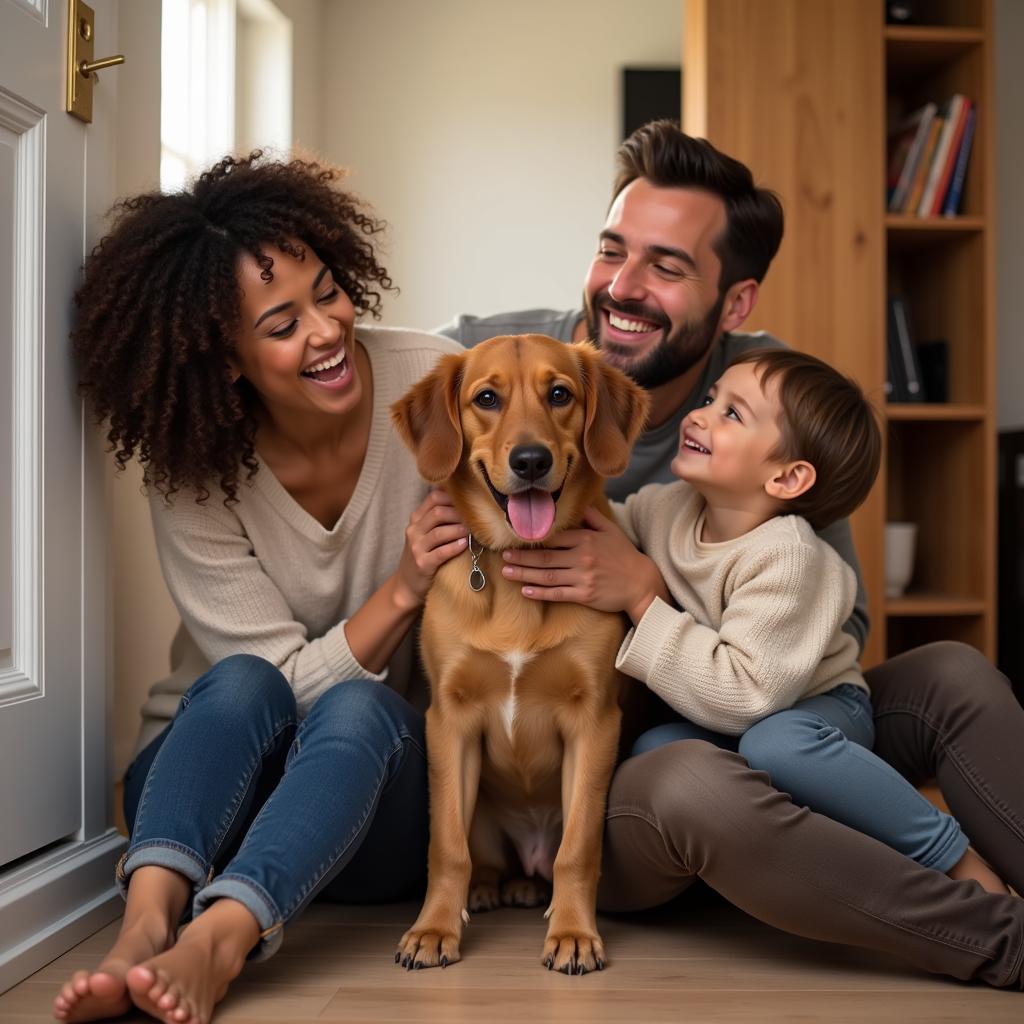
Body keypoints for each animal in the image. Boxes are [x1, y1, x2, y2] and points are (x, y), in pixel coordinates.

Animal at [387, 333, 643, 974]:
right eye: (486, 398)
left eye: (560, 395)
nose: (531, 461)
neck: (515, 569)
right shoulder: (449, 720)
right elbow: (446, 847)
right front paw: (433, 929)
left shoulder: (594, 722)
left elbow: (577, 849)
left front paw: (574, 934)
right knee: (482, 859)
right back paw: (486, 889)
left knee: (547, 862)